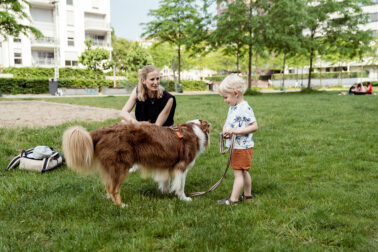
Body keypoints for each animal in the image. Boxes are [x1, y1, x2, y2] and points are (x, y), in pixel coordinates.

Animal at [62, 119, 210, 207]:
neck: (194, 128)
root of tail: (104, 130)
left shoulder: (167, 165)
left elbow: (166, 181)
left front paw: (166, 192)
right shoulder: (181, 166)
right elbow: (180, 185)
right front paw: (184, 198)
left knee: (108, 186)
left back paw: (111, 201)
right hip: (121, 166)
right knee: (114, 188)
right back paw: (120, 205)